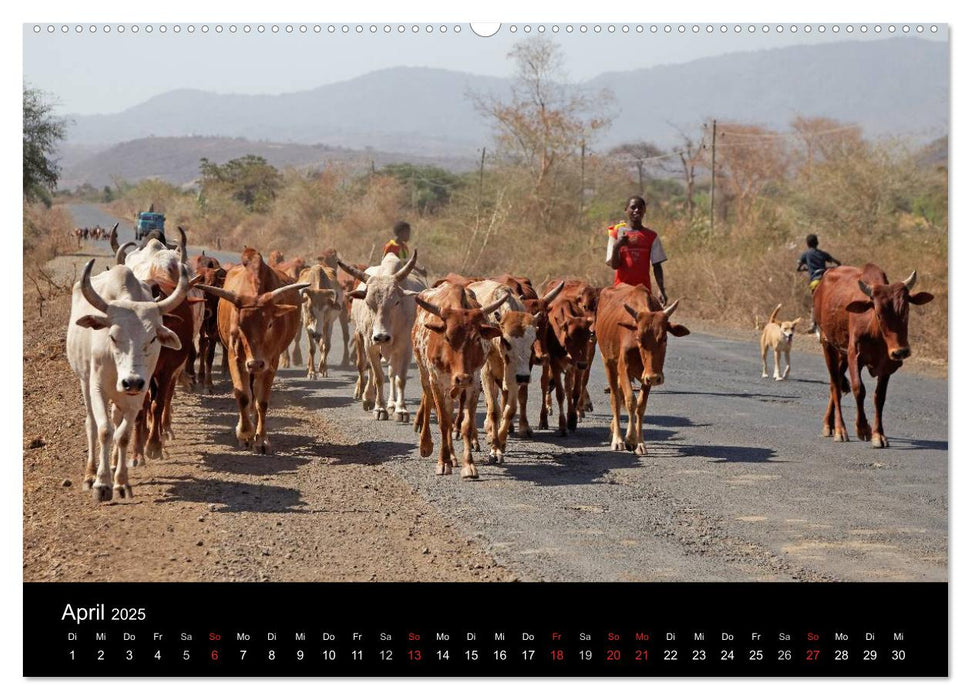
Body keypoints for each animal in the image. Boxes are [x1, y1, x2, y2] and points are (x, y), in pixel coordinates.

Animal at [201, 249, 312, 452]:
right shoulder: (236, 358)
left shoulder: (271, 362)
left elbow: (262, 401)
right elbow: (243, 395)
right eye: (240, 326)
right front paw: (245, 433)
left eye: (269, 324)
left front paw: (261, 439)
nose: (255, 363)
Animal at [410, 282, 504, 478]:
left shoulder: (474, 383)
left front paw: (468, 465)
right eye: (447, 337)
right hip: (424, 374)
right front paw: (443, 462)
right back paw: (428, 446)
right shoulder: (437, 381)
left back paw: (454, 457)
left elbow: (465, 424)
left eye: (477, 338)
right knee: (430, 403)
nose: (462, 378)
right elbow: (444, 422)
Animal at [596, 284, 688, 454]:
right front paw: (630, 439)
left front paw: (639, 443)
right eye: (639, 338)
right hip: (608, 362)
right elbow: (630, 401)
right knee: (615, 398)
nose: (654, 377)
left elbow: (640, 406)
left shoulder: (648, 376)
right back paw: (617, 439)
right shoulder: (623, 369)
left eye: (664, 338)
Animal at [812, 266, 936, 446]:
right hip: (827, 344)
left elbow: (879, 397)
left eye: (906, 310)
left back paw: (829, 424)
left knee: (835, 385)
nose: (901, 351)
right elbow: (859, 389)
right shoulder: (854, 356)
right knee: (835, 386)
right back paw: (840, 429)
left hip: (841, 353)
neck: (875, 331)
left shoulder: (887, 364)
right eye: (878, 313)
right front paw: (863, 429)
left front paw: (878, 434)